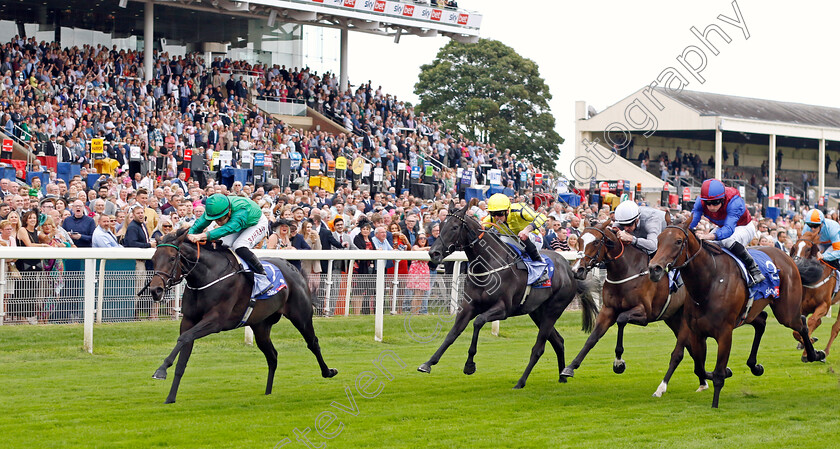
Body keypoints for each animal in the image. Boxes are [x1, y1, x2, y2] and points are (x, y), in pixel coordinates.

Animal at [560, 217, 704, 396]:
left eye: (596, 242)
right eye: (579, 240)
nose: (576, 270)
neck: (626, 271)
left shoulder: (644, 313)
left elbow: (621, 320)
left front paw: (618, 363)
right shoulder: (608, 310)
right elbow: (592, 338)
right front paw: (570, 367)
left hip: (685, 319)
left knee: (682, 350)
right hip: (673, 318)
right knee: (693, 347)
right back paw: (703, 380)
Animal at [652, 220, 824, 406]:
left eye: (678, 241)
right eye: (659, 239)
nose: (654, 268)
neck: (709, 283)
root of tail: (787, 256)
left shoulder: (725, 333)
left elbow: (716, 374)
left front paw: (715, 405)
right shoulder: (697, 332)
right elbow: (700, 368)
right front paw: (726, 372)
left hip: (786, 312)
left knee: (801, 323)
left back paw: (815, 354)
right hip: (750, 312)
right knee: (762, 321)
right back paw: (756, 366)